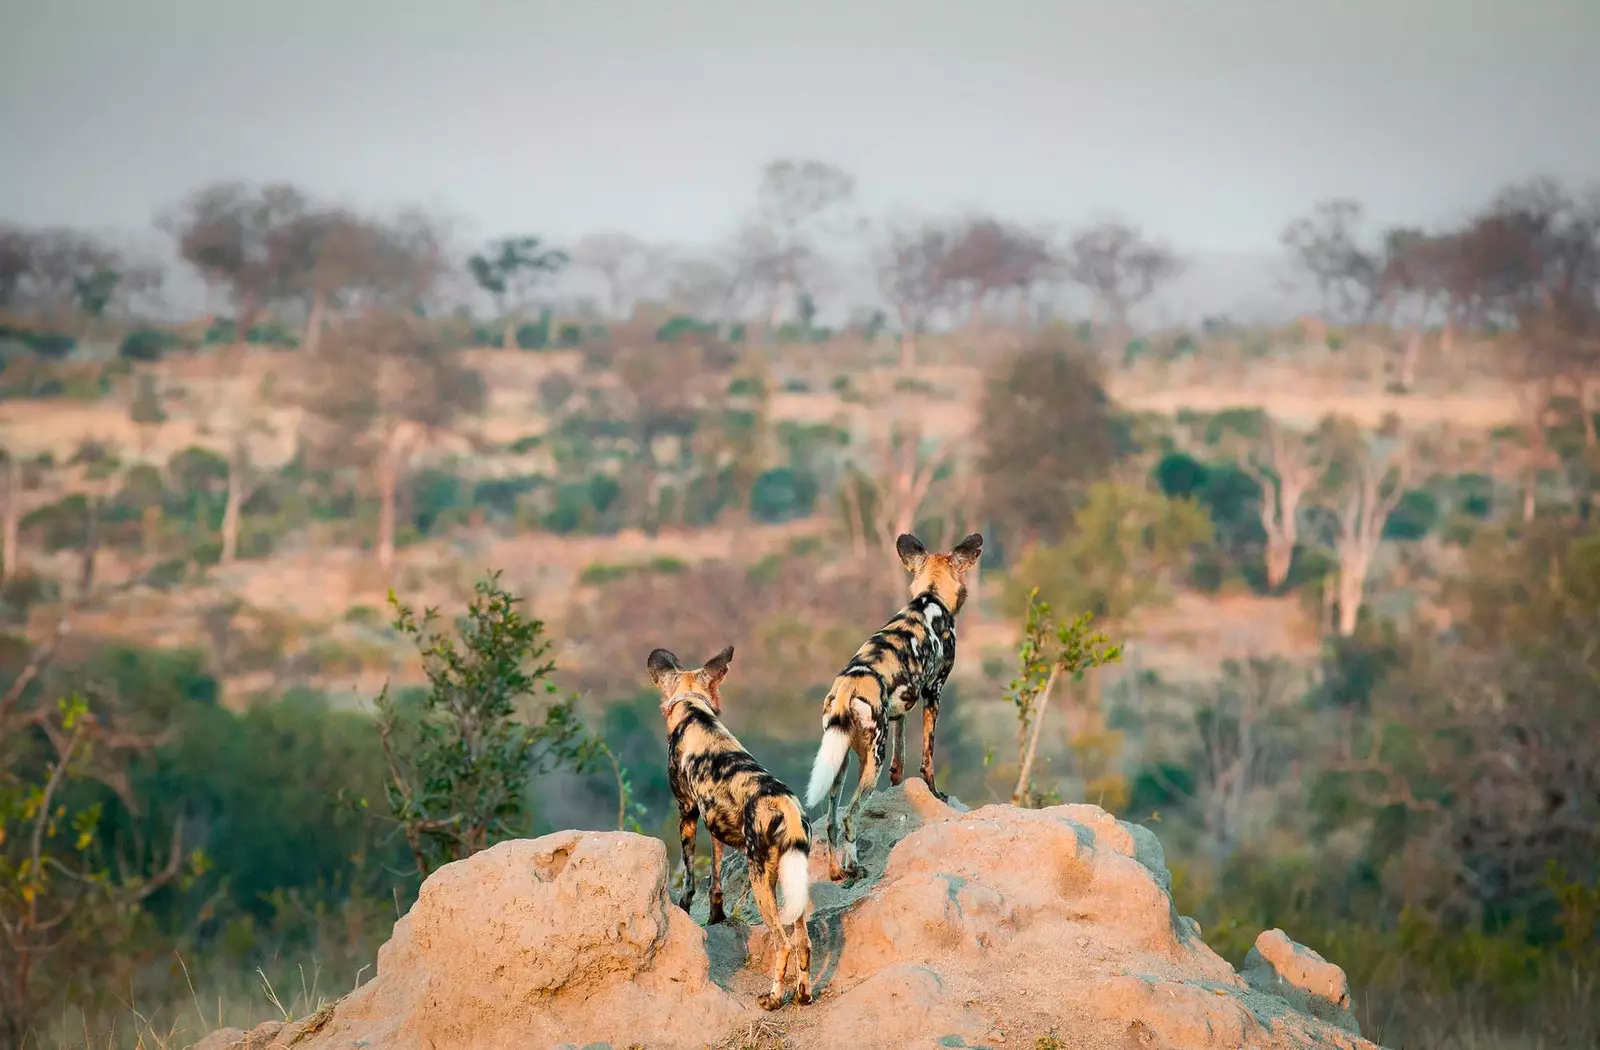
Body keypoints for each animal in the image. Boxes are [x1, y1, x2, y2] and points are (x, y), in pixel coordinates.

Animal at [646, 643, 819, 1011]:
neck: (693, 709)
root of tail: (786, 804)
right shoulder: (715, 825)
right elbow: (715, 880)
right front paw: (716, 916)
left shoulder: (688, 813)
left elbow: (688, 879)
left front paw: (684, 910)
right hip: (791, 879)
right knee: (804, 942)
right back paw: (803, 995)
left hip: (761, 880)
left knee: (783, 943)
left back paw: (773, 998)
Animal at [806, 528, 979, 883]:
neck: (929, 598)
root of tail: (849, 685)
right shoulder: (933, 693)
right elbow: (928, 759)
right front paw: (936, 795)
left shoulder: (900, 708)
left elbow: (900, 763)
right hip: (873, 755)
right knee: (850, 815)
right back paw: (854, 867)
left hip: (841, 759)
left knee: (831, 820)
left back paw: (836, 871)